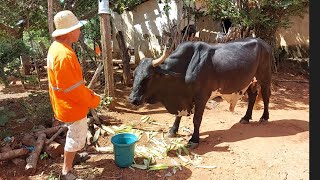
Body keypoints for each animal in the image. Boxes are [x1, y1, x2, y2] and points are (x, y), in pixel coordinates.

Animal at [129, 37, 272, 148]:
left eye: (148, 77)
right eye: (134, 74)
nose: (132, 99)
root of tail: (262, 42)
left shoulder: (201, 97)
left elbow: (197, 119)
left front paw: (194, 139)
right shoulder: (183, 99)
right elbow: (178, 116)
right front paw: (173, 130)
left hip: (264, 76)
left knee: (266, 95)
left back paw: (264, 117)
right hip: (249, 80)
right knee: (253, 95)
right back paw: (246, 118)